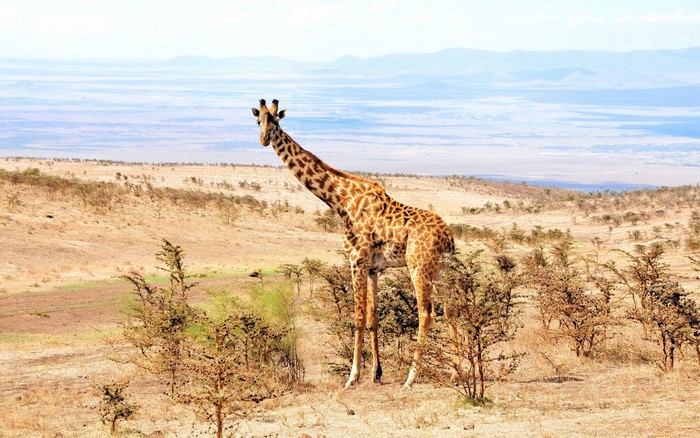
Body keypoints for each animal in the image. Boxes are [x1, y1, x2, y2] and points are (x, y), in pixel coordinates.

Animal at [251, 99, 455, 388]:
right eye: (258, 121)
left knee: (426, 314)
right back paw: (458, 372)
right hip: (442, 269)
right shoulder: (373, 269)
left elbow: (357, 317)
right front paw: (376, 374)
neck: (339, 200)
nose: (264, 139)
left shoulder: (356, 260)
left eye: (276, 122)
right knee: (452, 310)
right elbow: (372, 319)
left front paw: (353, 376)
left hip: (419, 267)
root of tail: (448, 236)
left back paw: (411, 377)